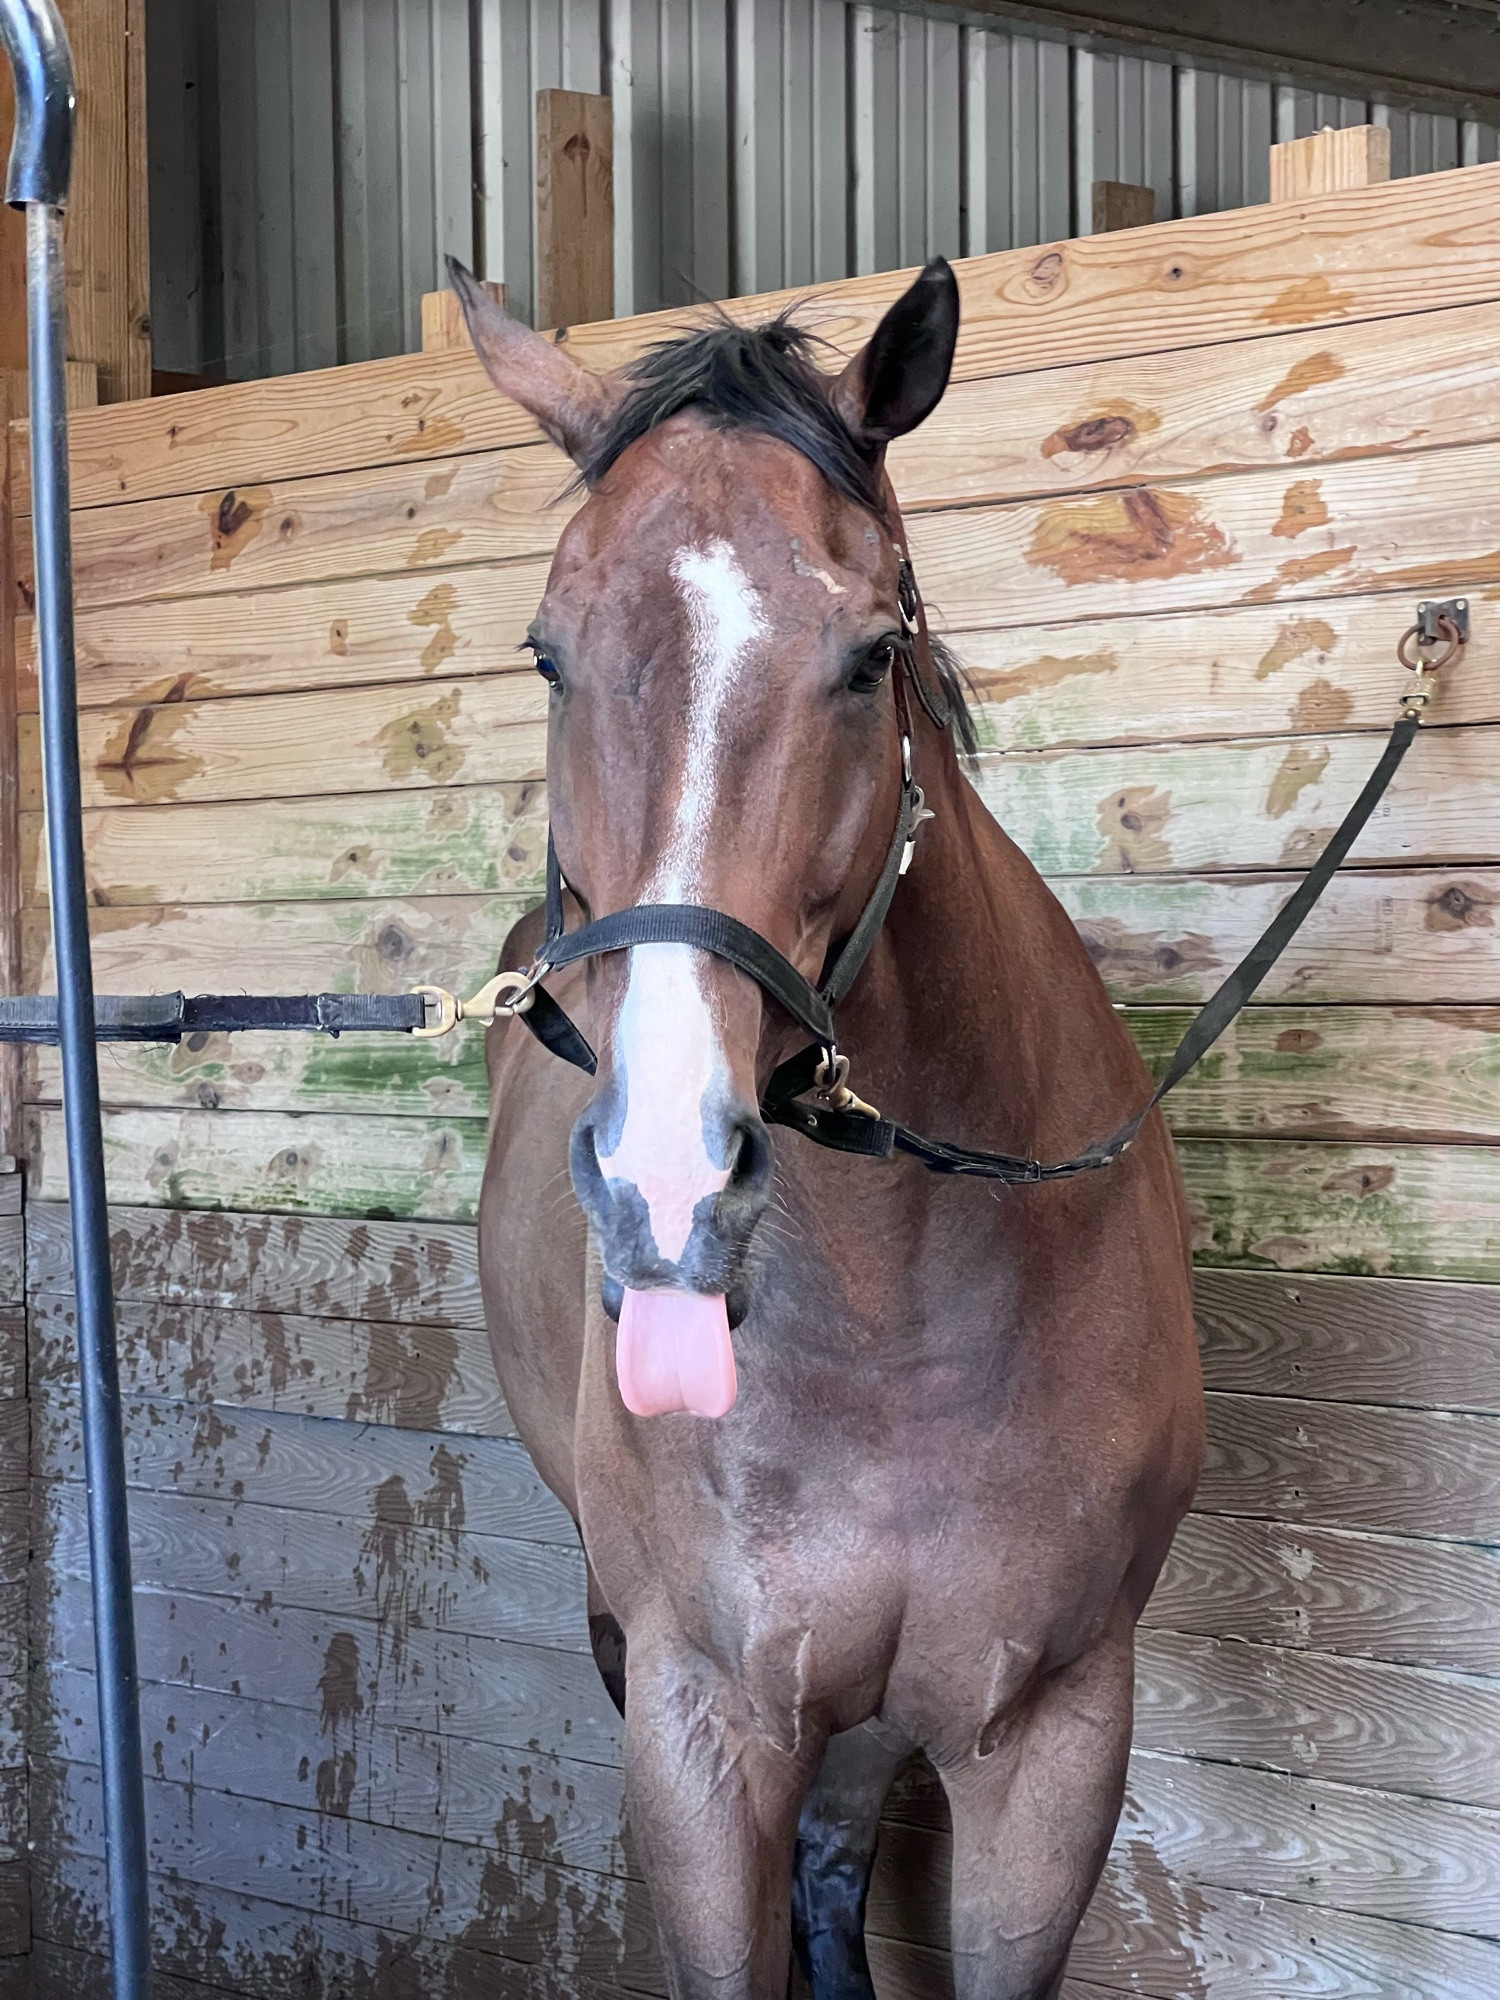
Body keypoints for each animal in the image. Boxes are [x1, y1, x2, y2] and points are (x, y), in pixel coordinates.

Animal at [458, 262, 1208, 2000]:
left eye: (870, 656)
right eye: (548, 654)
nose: (667, 1186)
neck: (892, 1327)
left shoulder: (1054, 1732)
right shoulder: (699, 1719)